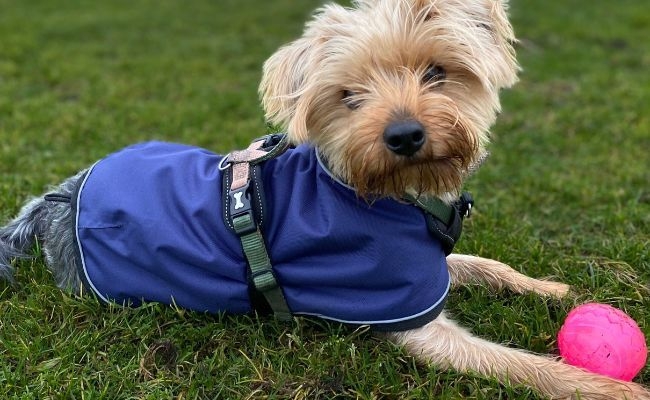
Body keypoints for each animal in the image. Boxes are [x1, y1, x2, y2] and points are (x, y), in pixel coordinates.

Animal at [0, 0, 644, 398]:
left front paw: (549, 289)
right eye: (349, 96)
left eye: (437, 72)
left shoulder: (423, 271)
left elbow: (483, 263)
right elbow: (526, 367)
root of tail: (57, 198)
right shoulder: (406, 314)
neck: (394, 197)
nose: (404, 135)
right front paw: (615, 387)